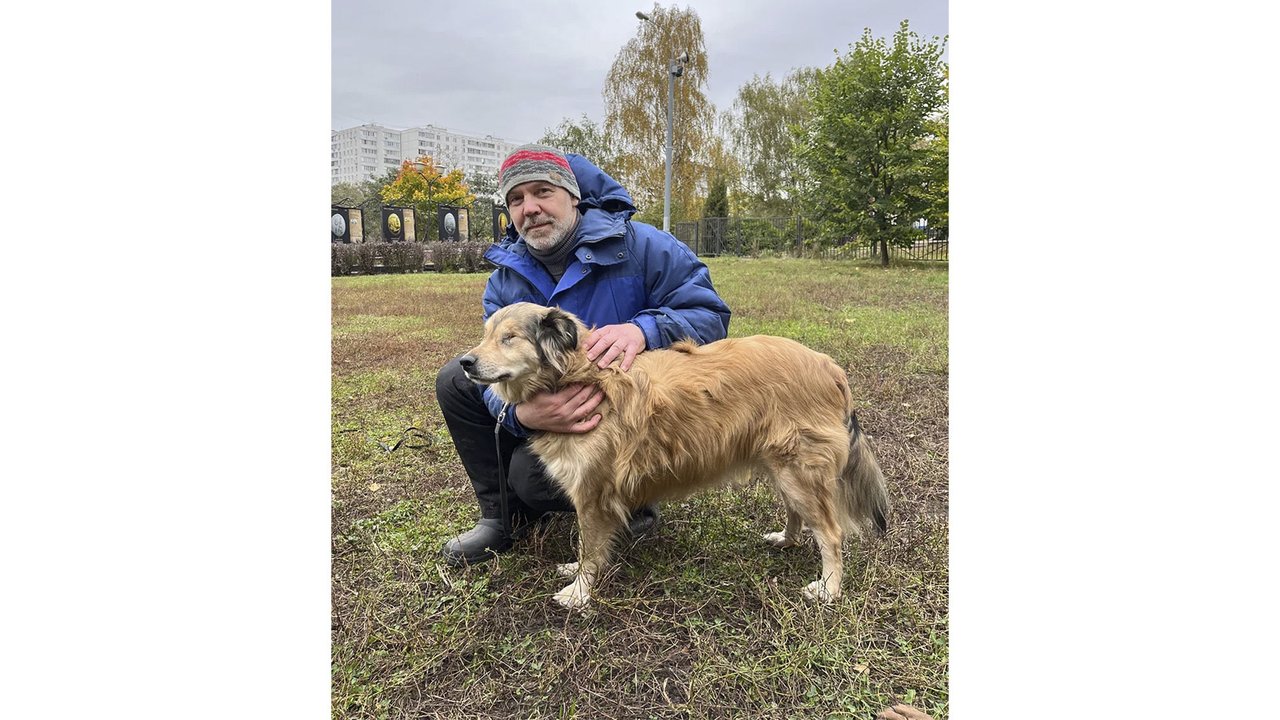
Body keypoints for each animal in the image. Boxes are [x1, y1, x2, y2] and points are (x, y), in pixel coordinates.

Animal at [460, 298, 890, 604]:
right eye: (486, 334)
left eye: (509, 337)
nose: (465, 362)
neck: (576, 377)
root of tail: (828, 365)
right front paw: (575, 573)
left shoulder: (593, 494)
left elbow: (590, 547)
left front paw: (580, 591)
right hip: (784, 468)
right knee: (798, 514)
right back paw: (786, 540)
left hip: (799, 470)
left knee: (831, 533)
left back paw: (829, 588)